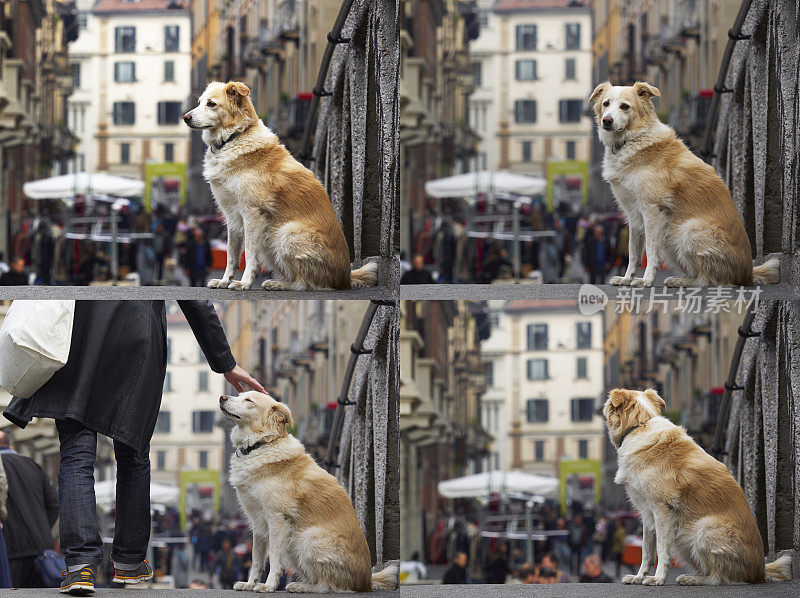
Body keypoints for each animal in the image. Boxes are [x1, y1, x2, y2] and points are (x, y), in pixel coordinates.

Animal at [184, 82, 378, 292]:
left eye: (211, 104)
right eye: (199, 102)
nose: (185, 117)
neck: (235, 137)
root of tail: (346, 278)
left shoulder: (251, 213)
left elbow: (249, 254)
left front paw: (244, 282)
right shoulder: (232, 215)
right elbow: (232, 254)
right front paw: (224, 281)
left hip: (285, 233)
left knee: (305, 284)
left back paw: (277, 284)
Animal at [219, 392, 396, 592]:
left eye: (249, 401)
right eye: (240, 395)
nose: (222, 397)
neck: (262, 444)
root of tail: (367, 581)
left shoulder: (276, 518)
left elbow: (274, 558)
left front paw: (269, 586)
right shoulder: (258, 521)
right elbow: (256, 558)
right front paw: (250, 583)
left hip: (307, 537)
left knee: (330, 586)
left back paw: (301, 587)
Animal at [592, 82, 780, 288]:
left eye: (625, 106)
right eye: (606, 103)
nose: (607, 121)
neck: (632, 139)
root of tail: (748, 274)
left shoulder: (651, 210)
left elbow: (651, 250)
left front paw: (646, 280)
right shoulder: (633, 213)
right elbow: (633, 252)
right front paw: (626, 278)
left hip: (688, 229)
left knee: (709, 280)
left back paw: (680, 281)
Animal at [604, 386, 792, 588]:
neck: (640, 425)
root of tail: (760, 572)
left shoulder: (662, 509)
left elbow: (661, 550)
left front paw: (658, 578)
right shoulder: (647, 513)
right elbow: (646, 550)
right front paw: (639, 577)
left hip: (705, 527)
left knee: (718, 578)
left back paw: (692, 579)